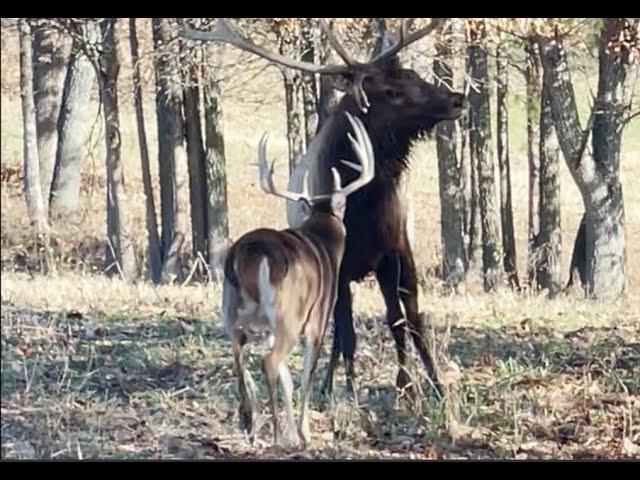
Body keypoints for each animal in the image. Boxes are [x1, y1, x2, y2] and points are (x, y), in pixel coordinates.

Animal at [185, 16, 464, 402]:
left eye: (413, 75)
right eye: (392, 91)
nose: (457, 98)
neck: (364, 210)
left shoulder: (395, 250)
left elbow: (404, 322)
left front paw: (418, 386)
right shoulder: (340, 267)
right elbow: (347, 334)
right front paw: (349, 390)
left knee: (404, 319)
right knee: (336, 331)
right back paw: (329, 382)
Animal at [224, 112, 378, 446]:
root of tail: (253, 252)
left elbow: (288, 381)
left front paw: (293, 431)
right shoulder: (318, 319)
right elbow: (307, 373)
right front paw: (303, 433)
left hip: (233, 310)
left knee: (238, 346)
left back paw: (249, 419)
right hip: (288, 314)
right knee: (268, 361)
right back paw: (273, 433)